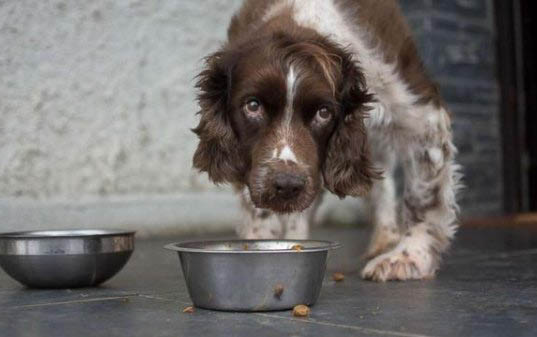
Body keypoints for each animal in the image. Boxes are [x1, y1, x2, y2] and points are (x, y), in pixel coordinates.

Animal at [192, 0, 460, 280]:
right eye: (252, 106)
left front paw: (409, 256)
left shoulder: (420, 112)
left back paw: (386, 240)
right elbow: (262, 206)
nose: (287, 185)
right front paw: (261, 242)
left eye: (324, 113)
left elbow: (423, 197)